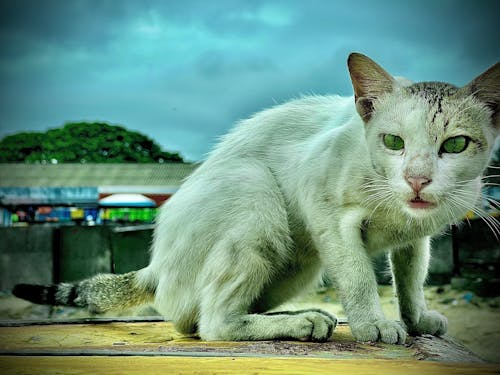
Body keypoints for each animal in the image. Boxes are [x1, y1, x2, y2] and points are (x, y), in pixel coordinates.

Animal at [13, 53, 498, 346]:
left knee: (194, 319)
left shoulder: (416, 238)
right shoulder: (329, 215)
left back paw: (301, 315)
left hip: (299, 261)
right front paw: (373, 325)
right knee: (213, 324)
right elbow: (359, 277)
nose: (417, 179)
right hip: (255, 193)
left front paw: (417, 321)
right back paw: (302, 322)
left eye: (455, 145)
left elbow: (411, 282)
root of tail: (156, 266)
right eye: (393, 141)